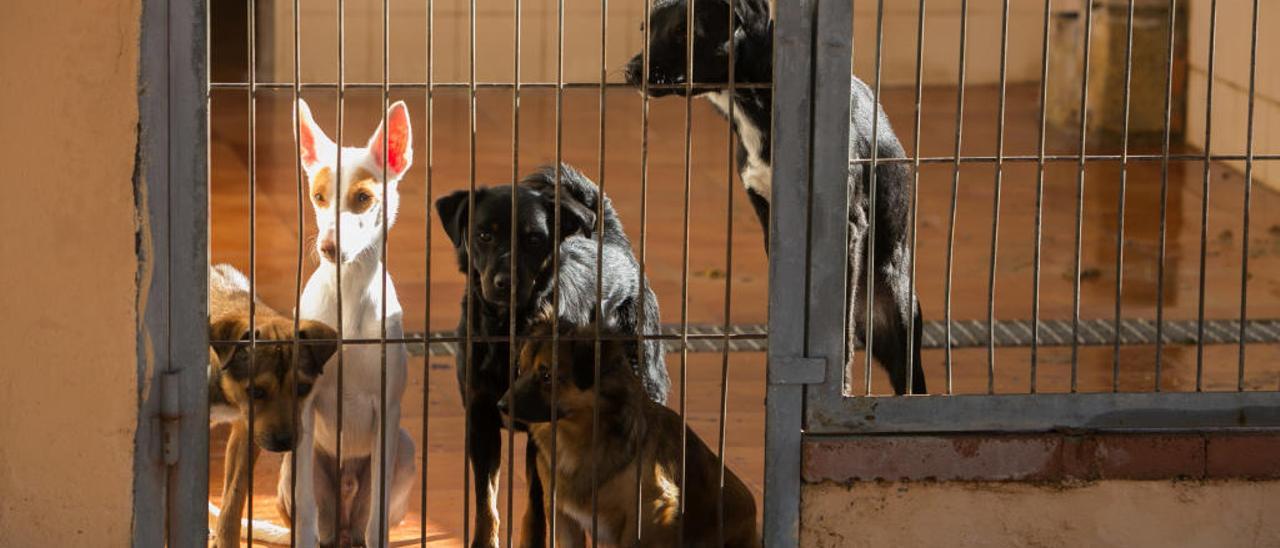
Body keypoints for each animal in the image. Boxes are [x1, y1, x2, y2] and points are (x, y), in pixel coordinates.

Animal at [277, 99, 417, 548]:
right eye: (318, 197)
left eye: (362, 198)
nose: (327, 247)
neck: (350, 295)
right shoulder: (302, 411)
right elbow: (305, 511)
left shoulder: (387, 412)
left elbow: (376, 520)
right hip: (293, 462)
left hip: (404, 450)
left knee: (367, 520)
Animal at [437, 163, 670, 548]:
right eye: (484, 235)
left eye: (533, 239)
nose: (505, 282)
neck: (509, 329)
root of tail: (613, 240)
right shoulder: (480, 418)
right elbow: (486, 502)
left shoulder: (543, 426)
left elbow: (536, 503)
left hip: (646, 375)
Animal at [499, 325, 757, 548]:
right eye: (520, 370)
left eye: (546, 375)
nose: (500, 405)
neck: (576, 438)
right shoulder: (563, 515)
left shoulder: (647, 513)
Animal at [624, 0, 926, 396]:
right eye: (646, 28)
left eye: (684, 30)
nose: (631, 72)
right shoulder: (770, 220)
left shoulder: (848, 227)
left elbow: (840, 337)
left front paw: (840, 383)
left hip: (899, 312)